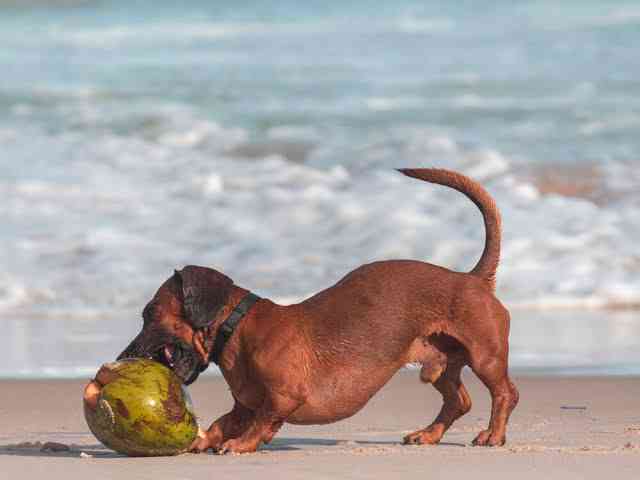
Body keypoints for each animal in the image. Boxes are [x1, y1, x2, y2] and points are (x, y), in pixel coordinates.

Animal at [111, 169, 520, 454]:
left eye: (150, 313)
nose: (122, 357)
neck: (239, 330)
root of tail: (472, 278)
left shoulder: (283, 398)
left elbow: (264, 420)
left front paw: (241, 444)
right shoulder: (243, 405)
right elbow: (223, 422)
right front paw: (203, 440)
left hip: (485, 357)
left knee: (505, 394)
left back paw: (493, 434)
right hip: (439, 368)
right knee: (459, 401)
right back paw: (428, 434)